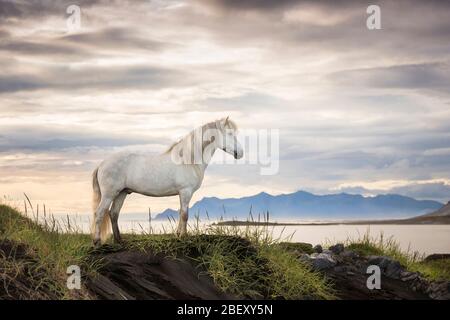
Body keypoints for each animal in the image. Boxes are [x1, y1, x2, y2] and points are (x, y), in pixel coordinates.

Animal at [90, 117, 243, 245]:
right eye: (230, 133)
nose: (240, 153)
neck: (188, 160)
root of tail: (102, 164)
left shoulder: (183, 194)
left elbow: (181, 213)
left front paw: (178, 235)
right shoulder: (185, 192)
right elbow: (184, 215)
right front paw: (184, 237)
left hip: (122, 193)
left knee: (113, 214)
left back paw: (119, 240)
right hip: (109, 194)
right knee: (100, 213)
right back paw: (97, 242)